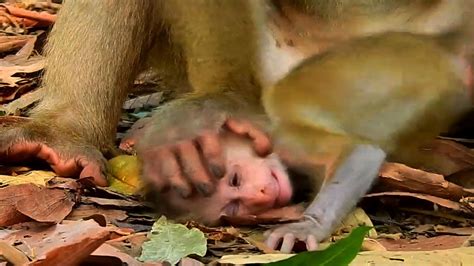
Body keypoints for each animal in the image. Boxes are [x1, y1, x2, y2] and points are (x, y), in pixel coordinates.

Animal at [0, 0, 472, 252]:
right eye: (231, 205)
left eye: (233, 176)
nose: (260, 196)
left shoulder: (291, 138)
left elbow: (357, 151)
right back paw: (63, 133)